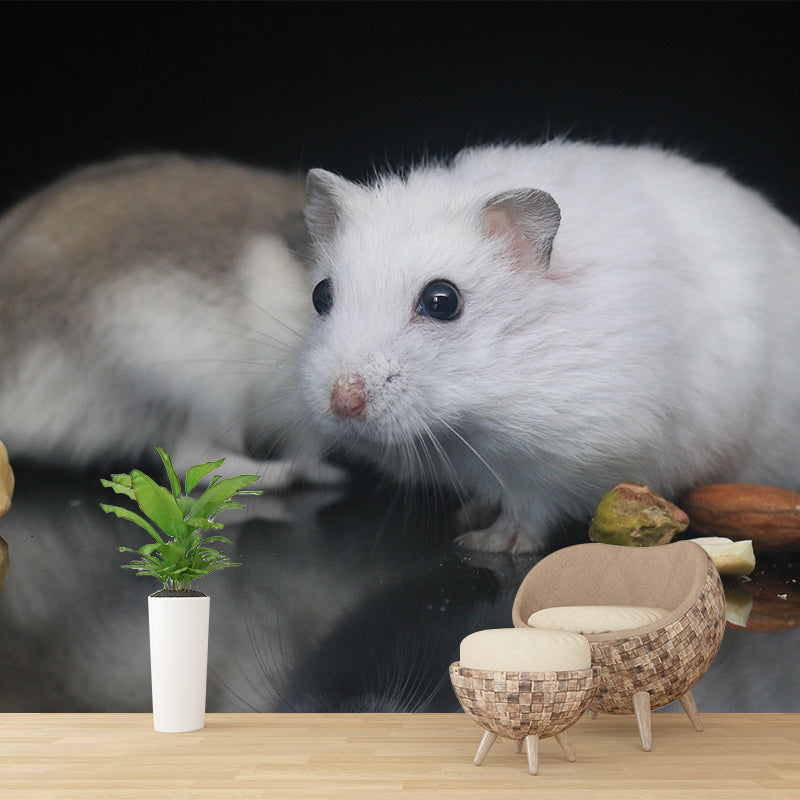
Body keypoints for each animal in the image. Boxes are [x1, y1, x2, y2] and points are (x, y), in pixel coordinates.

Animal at [301, 140, 800, 553]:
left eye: (442, 301)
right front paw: (471, 515)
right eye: (320, 295)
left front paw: (488, 544)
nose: (343, 404)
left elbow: (529, 509)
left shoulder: (579, 455)